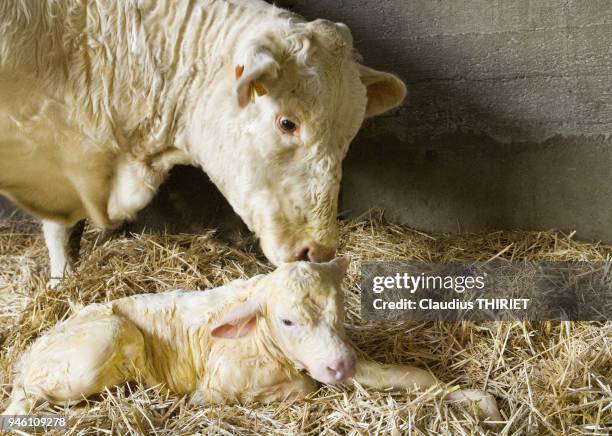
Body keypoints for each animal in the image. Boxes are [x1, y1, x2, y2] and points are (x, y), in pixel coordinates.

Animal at [3, 255, 502, 422]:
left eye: (339, 311)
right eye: (286, 321)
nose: (338, 364)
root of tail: (27, 355)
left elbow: (415, 376)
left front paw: (483, 404)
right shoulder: (216, 387)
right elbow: (303, 387)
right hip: (102, 341)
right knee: (29, 398)